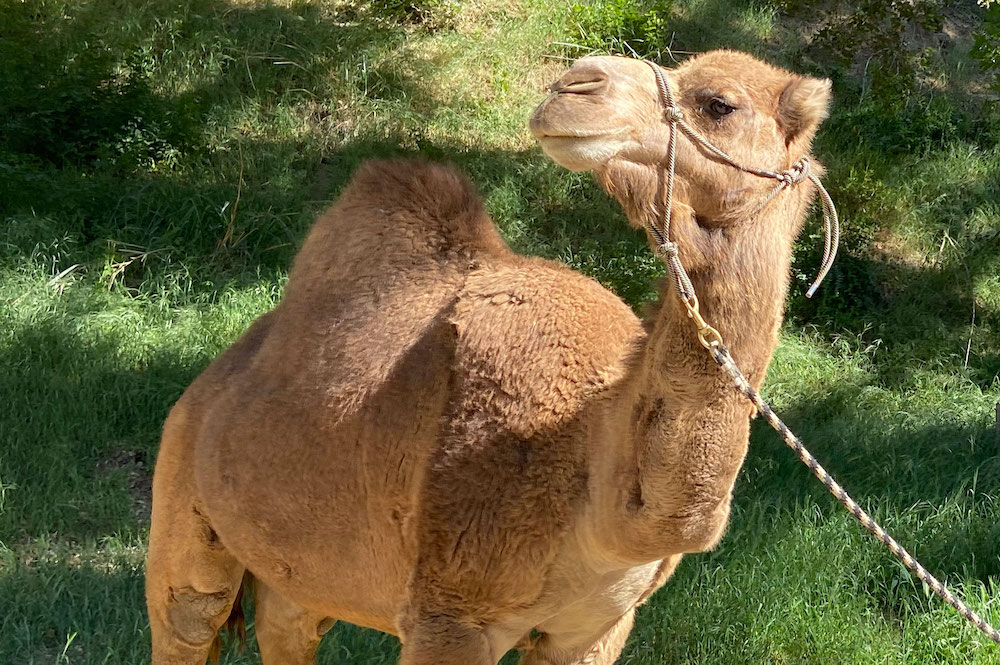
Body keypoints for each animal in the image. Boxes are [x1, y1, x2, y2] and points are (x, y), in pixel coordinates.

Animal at [146, 50, 828, 664]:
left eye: (719, 104)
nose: (575, 83)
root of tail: (206, 383)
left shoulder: (598, 627)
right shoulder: (450, 613)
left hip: (299, 571)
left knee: (288, 628)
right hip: (182, 501)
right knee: (186, 619)